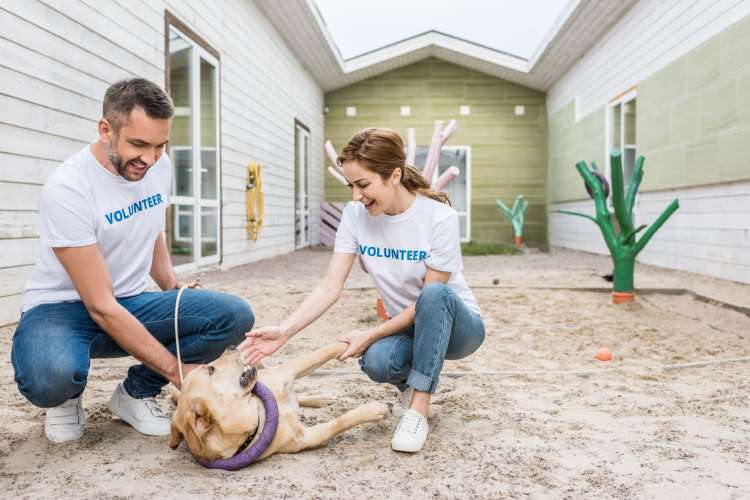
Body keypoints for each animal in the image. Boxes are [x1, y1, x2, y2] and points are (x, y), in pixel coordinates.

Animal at [170, 342, 388, 462]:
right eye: (211, 369)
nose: (231, 346)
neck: (258, 413)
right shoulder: (307, 437)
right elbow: (340, 422)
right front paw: (375, 409)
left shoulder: (286, 369)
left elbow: (326, 350)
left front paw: (357, 338)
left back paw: (321, 398)